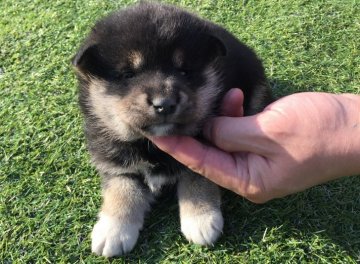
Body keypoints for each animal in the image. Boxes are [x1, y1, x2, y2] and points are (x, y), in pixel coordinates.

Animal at [72, 1, 270, 258]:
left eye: (184, 71)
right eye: (127, 74)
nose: (164, 104)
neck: (151, 145)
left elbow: (197, 176)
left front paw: (200, 219)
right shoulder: (113, 160)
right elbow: (121, 188)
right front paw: (113, 230)